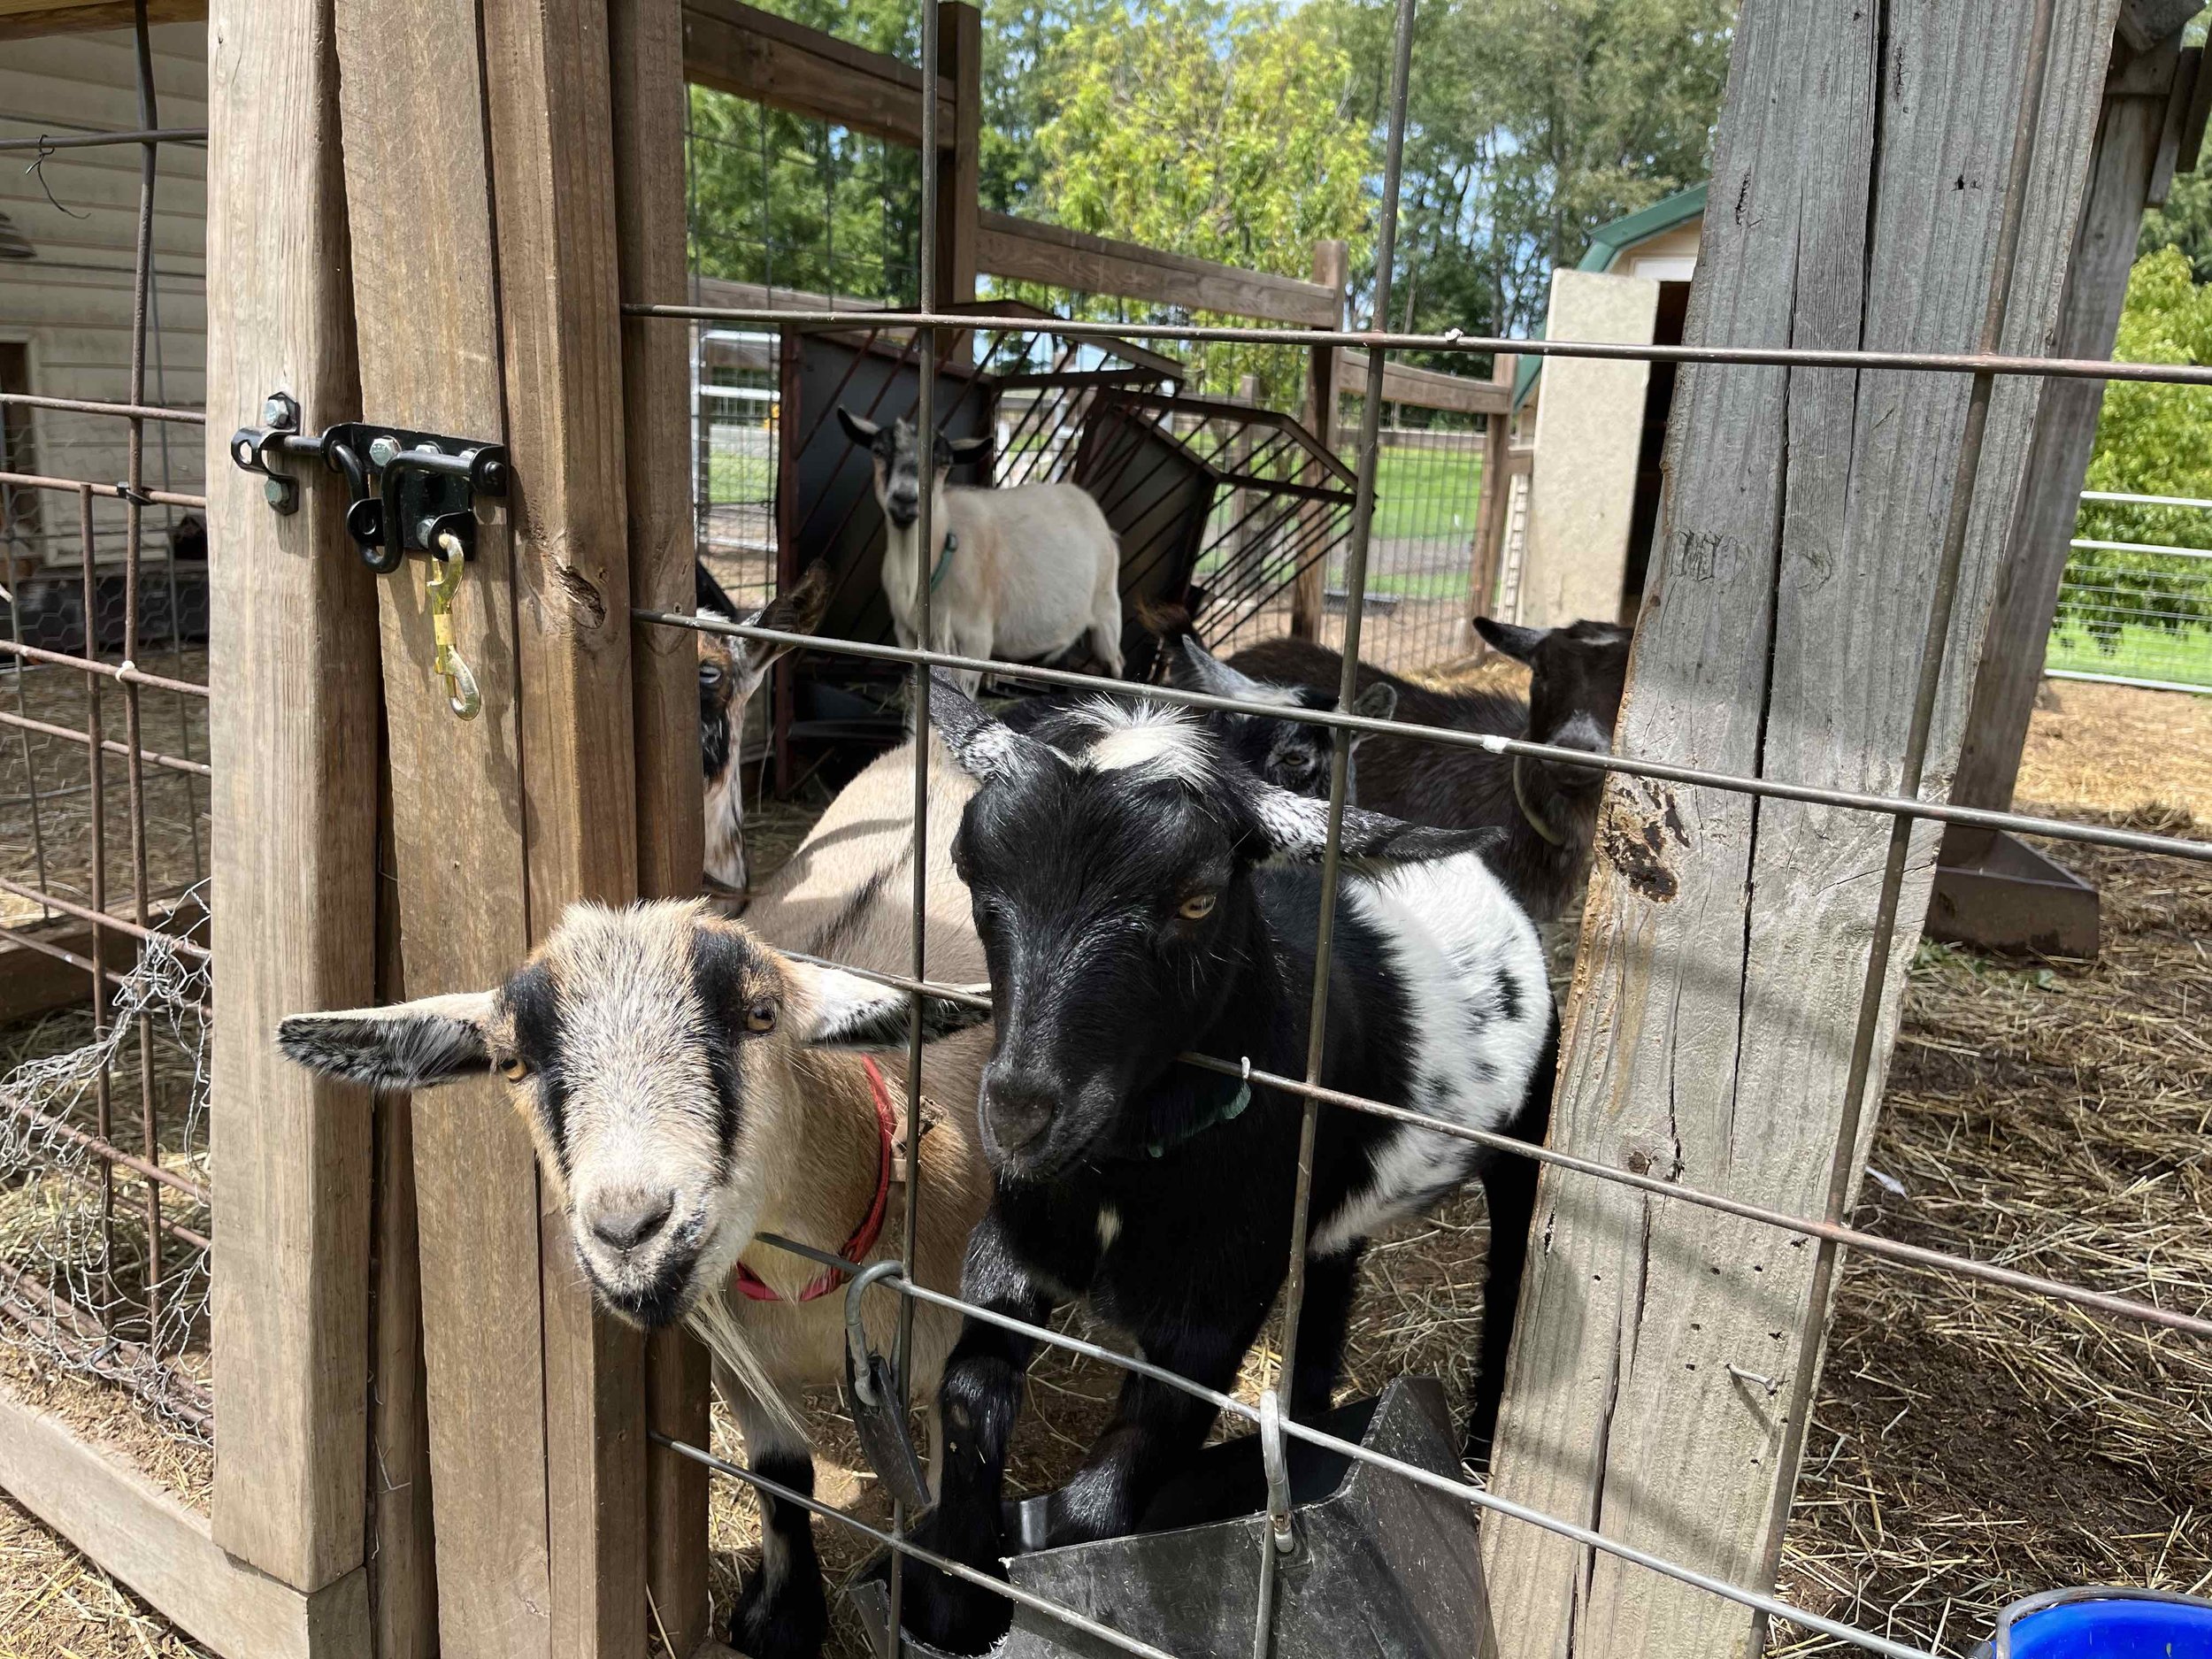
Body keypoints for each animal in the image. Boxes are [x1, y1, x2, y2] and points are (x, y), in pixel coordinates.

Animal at [832, 409, 1124, 695]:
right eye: (878, 451)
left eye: (945, 462)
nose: (905, 500)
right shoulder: (907, 634)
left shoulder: (975, 638)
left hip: (1107, 606)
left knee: (1116, 663)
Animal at [898, 672, 1557, 1655]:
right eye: (971, 874)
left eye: (1199, 898)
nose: (1017, 1117)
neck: (1127, 1173)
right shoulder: (1014, 1240)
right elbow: (969, 1393)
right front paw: (955, 1595)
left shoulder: (1211, 1315)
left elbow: (1101, 1502)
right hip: (1328, 1216)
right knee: (1327, 1292)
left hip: (1526, 1136)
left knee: (1514, 1270)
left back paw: (1475, 1456)